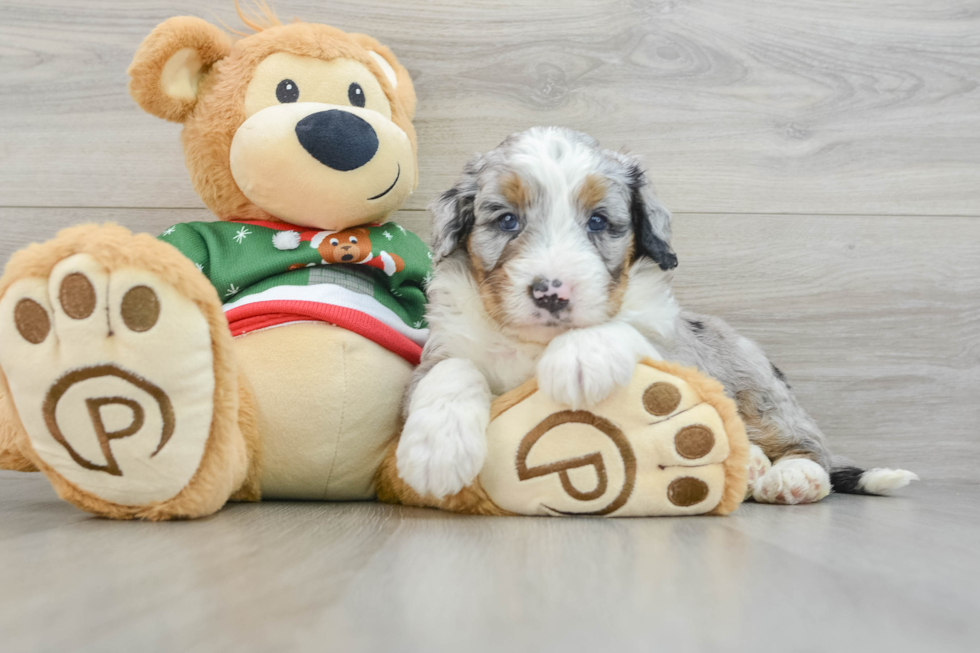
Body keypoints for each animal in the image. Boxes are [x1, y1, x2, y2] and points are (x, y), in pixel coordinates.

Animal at [394, 127, 916, 504]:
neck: (536, 344)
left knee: (807, 444)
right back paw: (751, 466)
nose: (550, 292)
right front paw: (437, 452)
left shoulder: (672, 351)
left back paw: (789, 477)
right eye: (507, 220)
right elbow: (451, 371)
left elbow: (623, 330)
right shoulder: (442, 348)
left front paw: (578, 358)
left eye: (598, 222)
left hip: (761, 390)